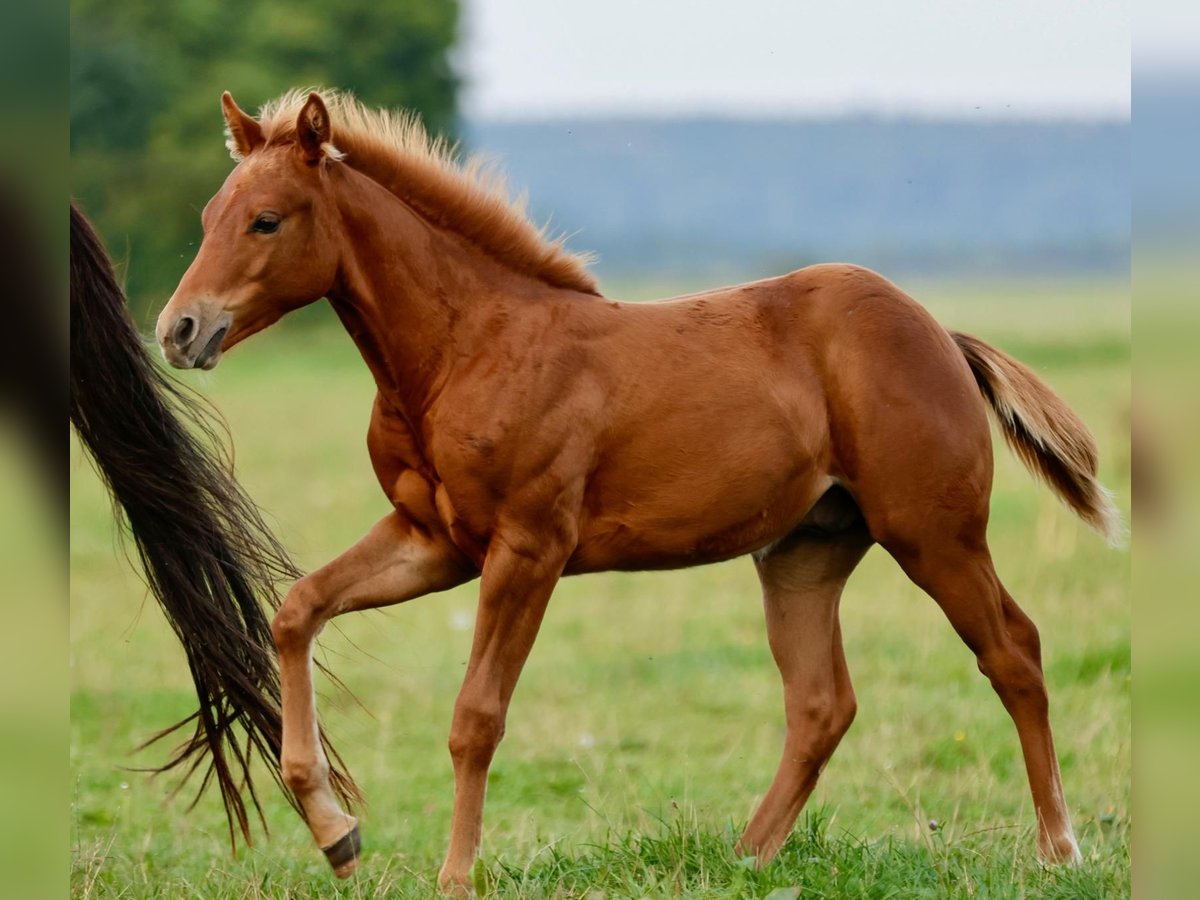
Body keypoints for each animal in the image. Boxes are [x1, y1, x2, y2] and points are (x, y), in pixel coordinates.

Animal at [154, 88, 1121, 893]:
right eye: (207, 215)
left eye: (267, 220)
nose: (179, 329)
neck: (467, 348)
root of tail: (939, 333)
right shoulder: (434, 541)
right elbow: (297, 610)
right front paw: (336, 832)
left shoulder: (529, 548)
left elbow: (476, 716)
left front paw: (455, 876)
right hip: (805, 552)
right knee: (822, 703)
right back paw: (744, 856)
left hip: (933, 534)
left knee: (1013, 651)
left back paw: (1059, 849)